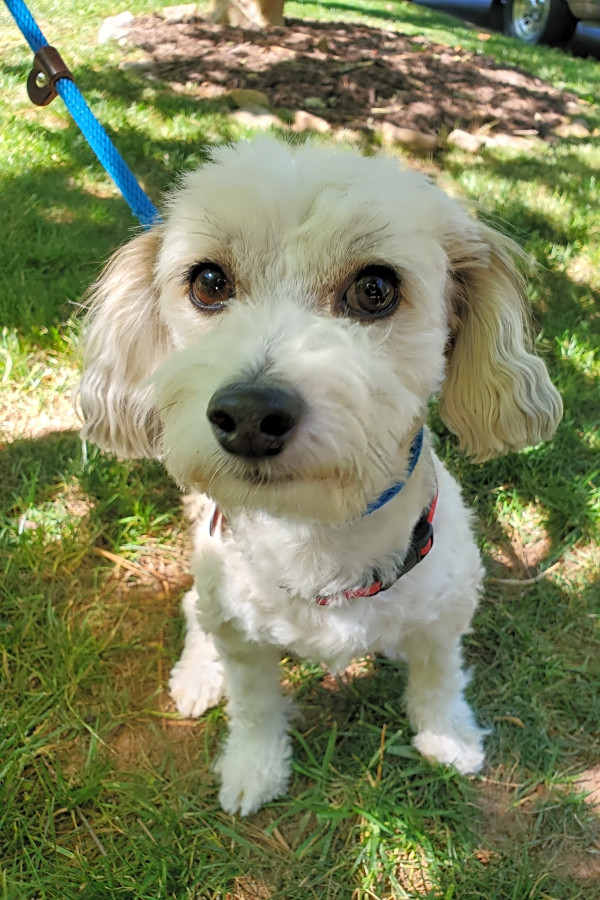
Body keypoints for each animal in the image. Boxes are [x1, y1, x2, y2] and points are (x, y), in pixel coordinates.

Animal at [79, 139, 564, 816]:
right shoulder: (244, 640)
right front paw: (254, 766)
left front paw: (448, 736)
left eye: (375, 289)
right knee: (194, 610)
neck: (318, 535)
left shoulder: (445, 614)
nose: (248, 415)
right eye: (208, 281)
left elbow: (439, 678)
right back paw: (199, 674)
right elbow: (255, 706)